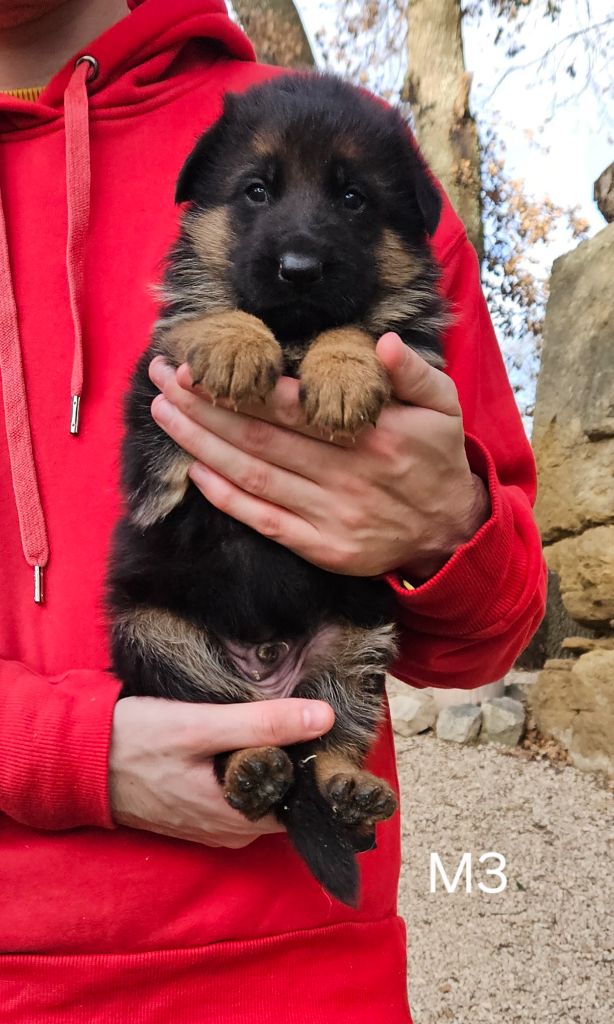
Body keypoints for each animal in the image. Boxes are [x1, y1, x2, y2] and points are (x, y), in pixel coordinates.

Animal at [107, 74, 448, 905]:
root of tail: (267, 669)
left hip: (355, 644)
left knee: (330, 735)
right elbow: (204, 315)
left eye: (354, 199)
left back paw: (347, 789)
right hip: (156, 639)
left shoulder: (416, 349)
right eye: (256, 191)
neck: (291, 332)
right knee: (225, 726)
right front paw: (234, 342)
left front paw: (344, 368)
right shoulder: (154, 394)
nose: (298, 267)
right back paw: (255, 767)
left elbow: (368, 329)